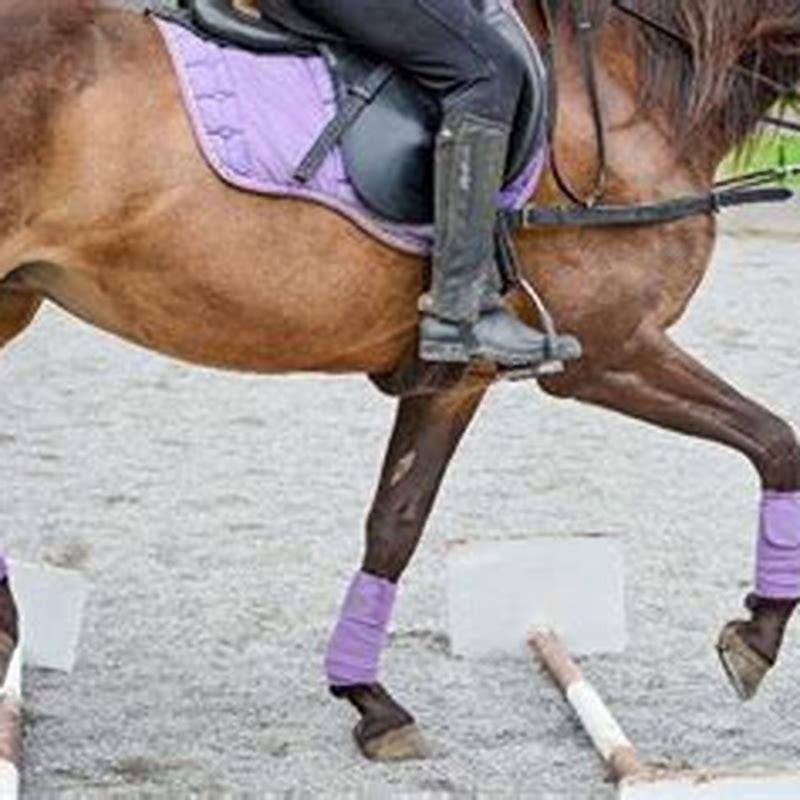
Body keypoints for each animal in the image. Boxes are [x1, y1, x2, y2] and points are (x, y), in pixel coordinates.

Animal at [1, 0, 800, 761]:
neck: (624, 81)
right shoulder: (611, 352)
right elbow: (777, 443)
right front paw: (756, 635)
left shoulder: (453, 381)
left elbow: (396, 523)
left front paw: (370, 702)